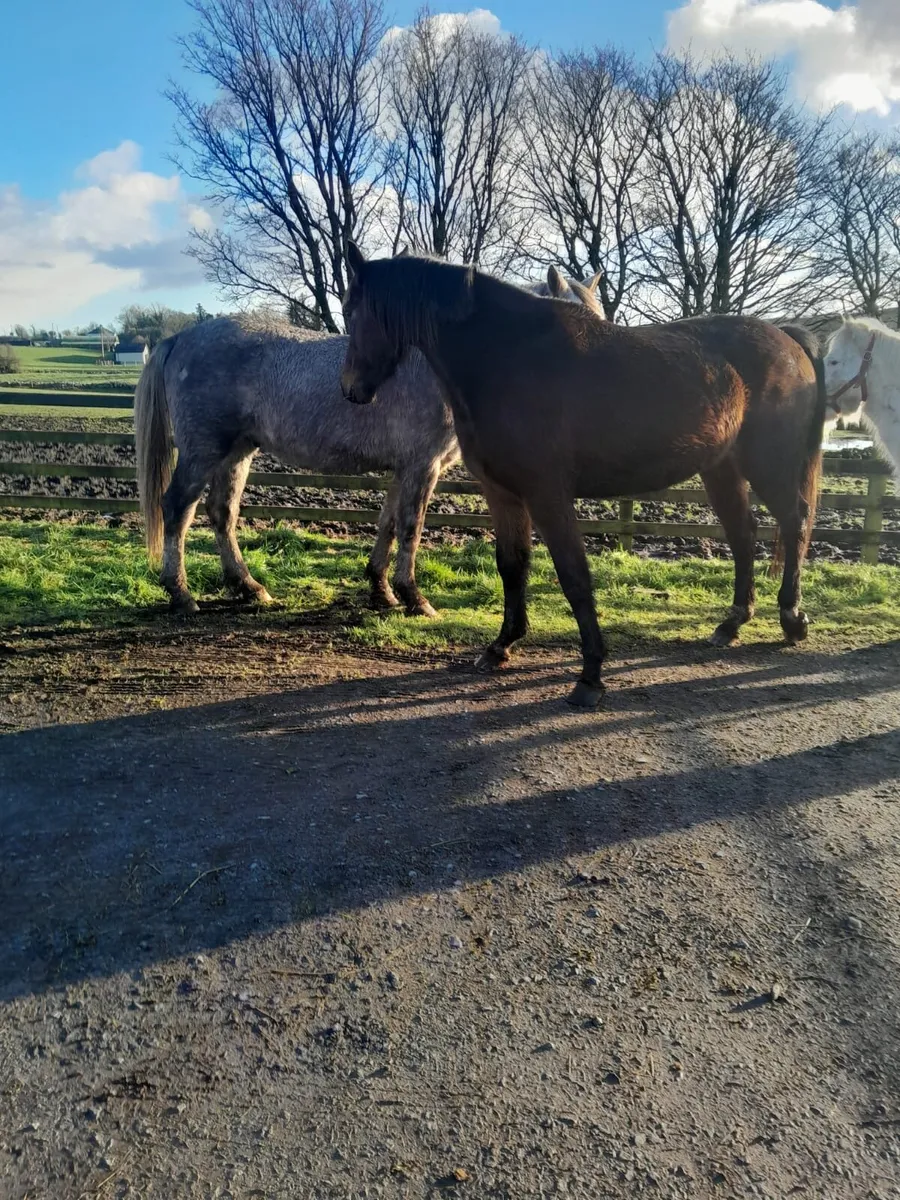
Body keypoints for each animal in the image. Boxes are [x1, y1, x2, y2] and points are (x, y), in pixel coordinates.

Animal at [134, 268, 602, 617]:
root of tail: (181, 338)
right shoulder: (423, 465)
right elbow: (412, 527)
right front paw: (414, 598)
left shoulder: (404, 468)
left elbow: (389, 525)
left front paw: (382, 590)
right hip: (202, 450)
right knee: (177, 509)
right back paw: (181, 593)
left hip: (237, 451)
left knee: (222, 513)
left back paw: (248, 586)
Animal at [339, 245, 828, 707]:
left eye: (349, 308)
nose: (350, 390)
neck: (507, 357)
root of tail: (788, 338)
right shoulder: (503, 493)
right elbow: (511, 565)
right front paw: (501, 647)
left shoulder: (547, 494)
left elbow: (574, 576)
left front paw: (590, 675)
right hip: (721, 469)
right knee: (744, 534)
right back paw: (732, 623)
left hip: (769, 463)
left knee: (795, 522)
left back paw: (792, 618)